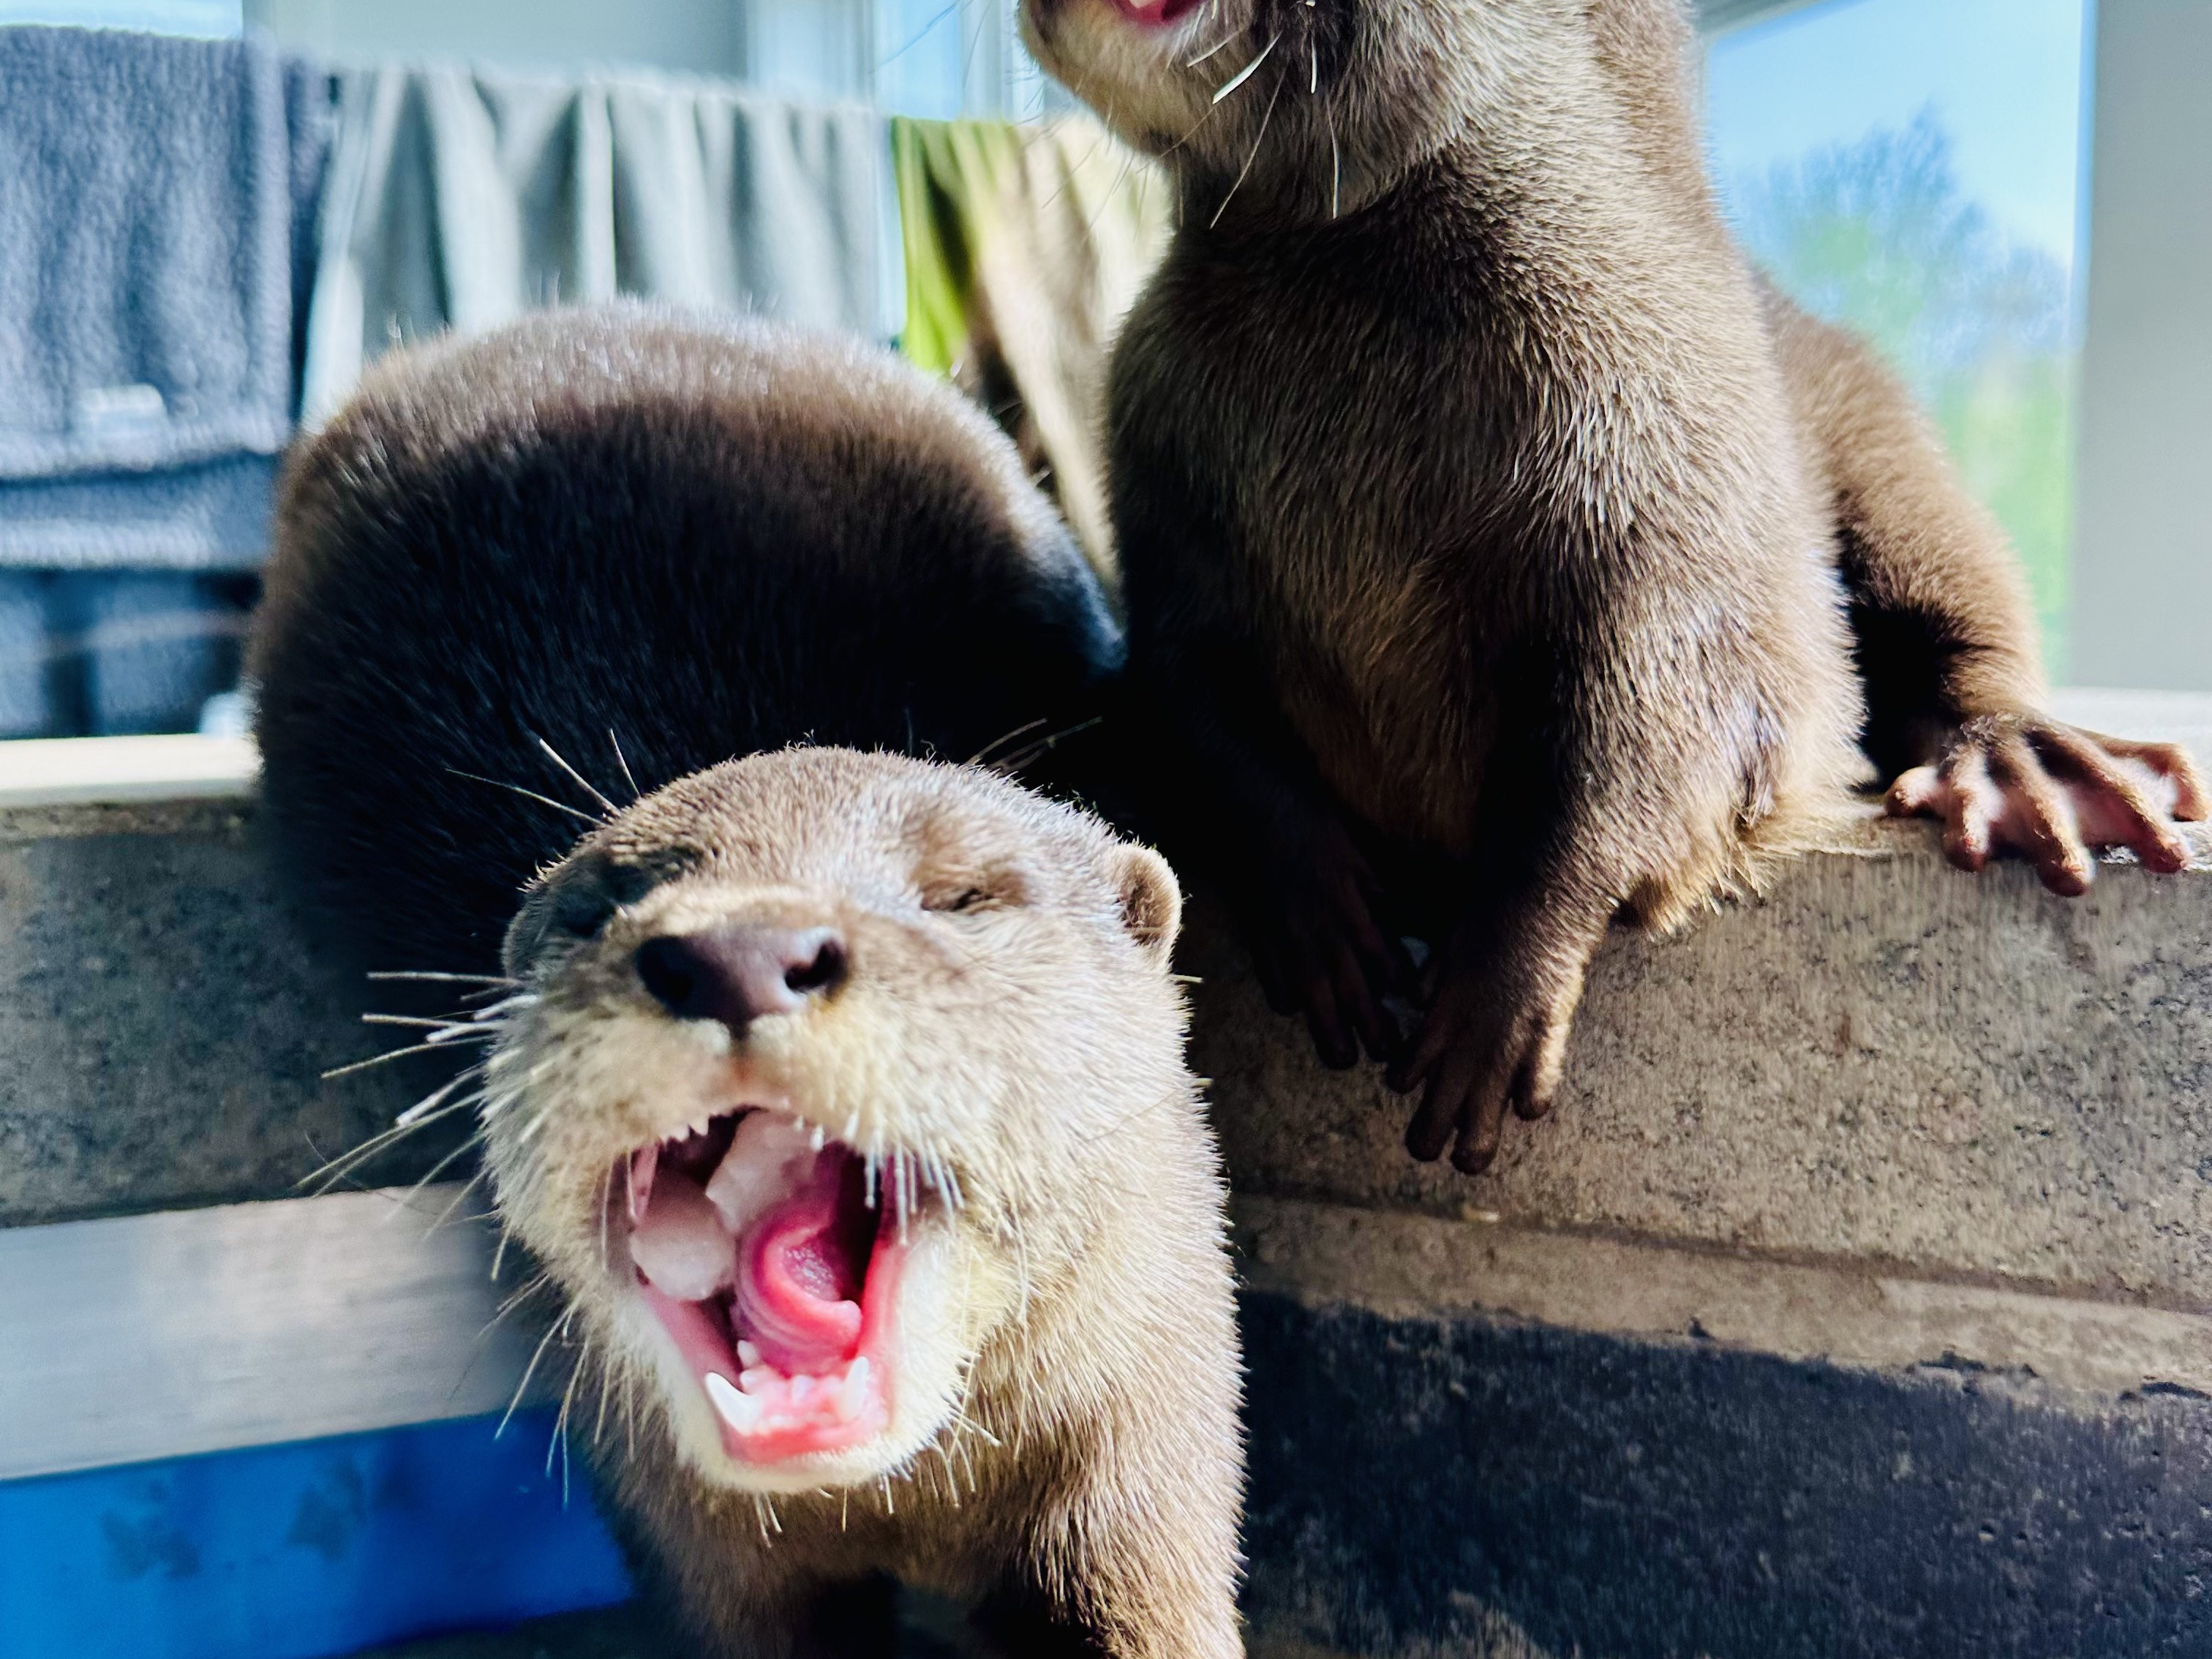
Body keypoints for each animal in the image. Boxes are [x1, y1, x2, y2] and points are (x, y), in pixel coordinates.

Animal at [1018, 0, 2207, 1175]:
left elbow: (1636, 745)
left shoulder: (1667, 490)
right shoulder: (1157, 486)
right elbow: (1190, 700)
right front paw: (1316, 909)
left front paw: (1503, 986)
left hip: (1875, 431)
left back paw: (2025, 764)